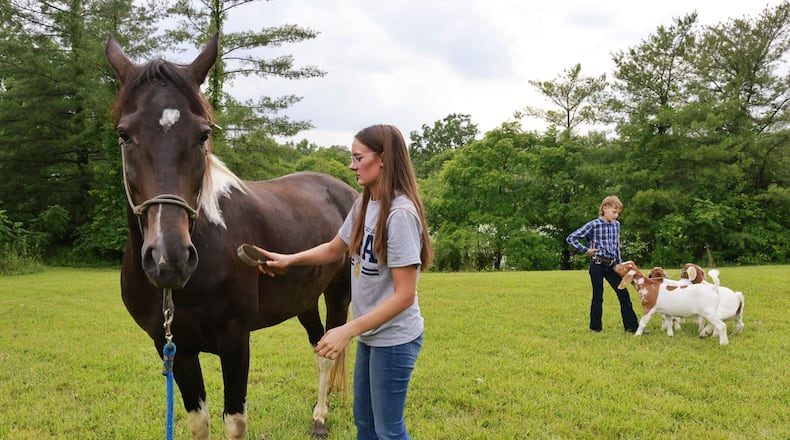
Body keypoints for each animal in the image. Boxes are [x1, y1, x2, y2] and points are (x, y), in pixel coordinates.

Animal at [105, 33, 357, 439]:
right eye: (124, 134)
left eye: (203, 134)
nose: (169, 259)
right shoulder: (173, 347)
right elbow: (199, 422)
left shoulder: (236, 342)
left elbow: (234, 422)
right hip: (303, 299)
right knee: (318, 343)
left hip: (339, 293)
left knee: (328, 352)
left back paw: (320, 416)